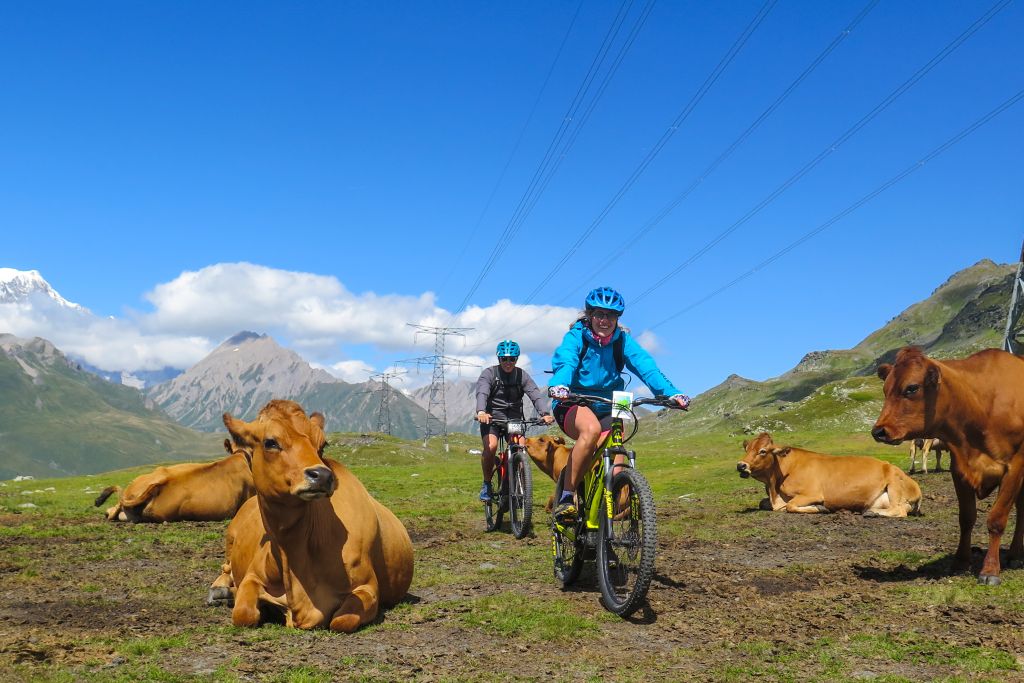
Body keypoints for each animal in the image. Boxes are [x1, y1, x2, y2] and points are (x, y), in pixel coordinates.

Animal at [207, 401, 411, 630]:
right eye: (270, 442)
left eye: (322, 445)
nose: (322, 476)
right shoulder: (253, 576)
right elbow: (243, 613)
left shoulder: (367, 587)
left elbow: (342, 620)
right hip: (230, 537)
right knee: (226, 568)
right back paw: (220, 590)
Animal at [737, 432, 921, 518]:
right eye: (747, 449)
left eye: (762, 451)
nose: (741, 465)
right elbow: (763, 503)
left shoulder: (812, 493)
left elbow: (791, 506)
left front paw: (820, 508)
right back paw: (869, 510)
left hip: (894, 485)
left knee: (899, 510)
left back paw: (871, 513)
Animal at [868, 350, 1024, 585]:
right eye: (885, 389)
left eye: (911, 388)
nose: (878, 431)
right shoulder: (959, 469)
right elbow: (966, 518)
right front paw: (960, 562)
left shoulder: (1014, 468)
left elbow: (996, 519)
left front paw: (990, 570)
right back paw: (1015, 555)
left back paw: (1014, 555)